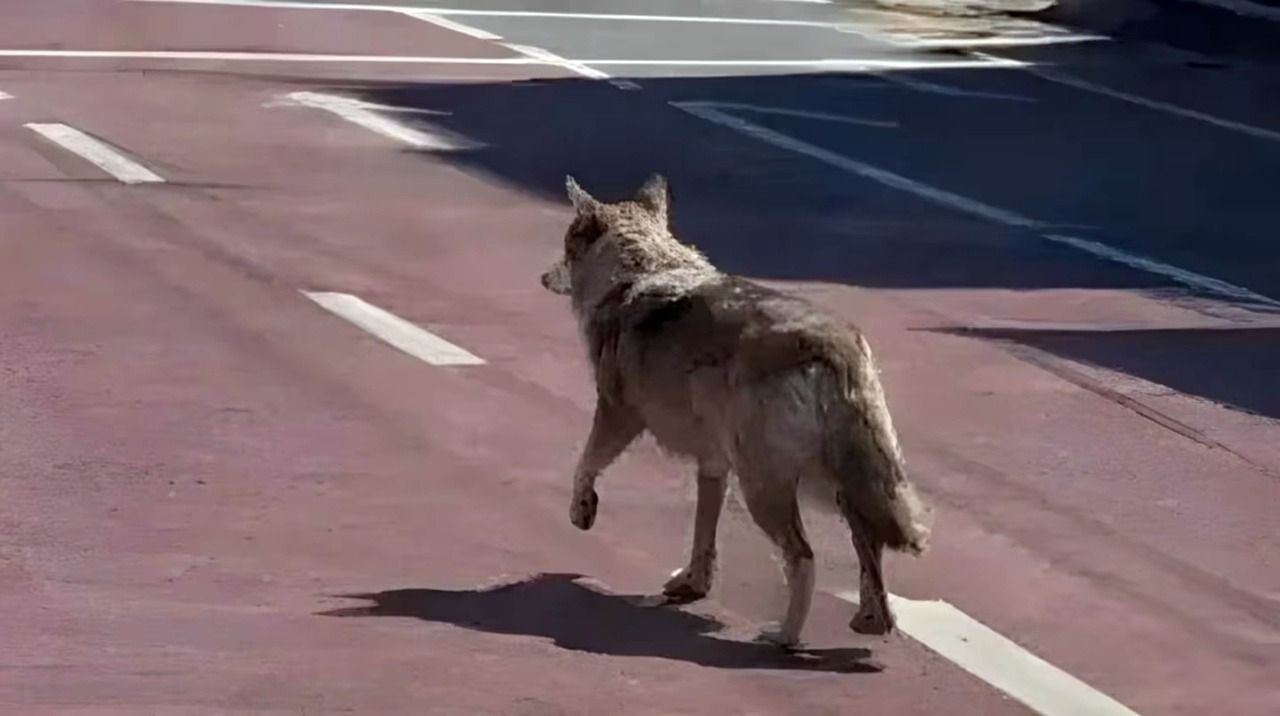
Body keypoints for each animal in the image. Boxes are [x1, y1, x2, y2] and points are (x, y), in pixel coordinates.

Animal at [540, 173, 931, 647]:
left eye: (566, 248)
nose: (542, 277)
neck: (641, 268)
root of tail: (835, 344)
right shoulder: (712, 464)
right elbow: (702, 534)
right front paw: (692, 584)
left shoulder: (618, 415)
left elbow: (584, 465)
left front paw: (582, 511)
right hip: (840, 486)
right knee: (869, 549)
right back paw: (870, 622)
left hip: (767, 488)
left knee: (803, 557)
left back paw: (784, 637)